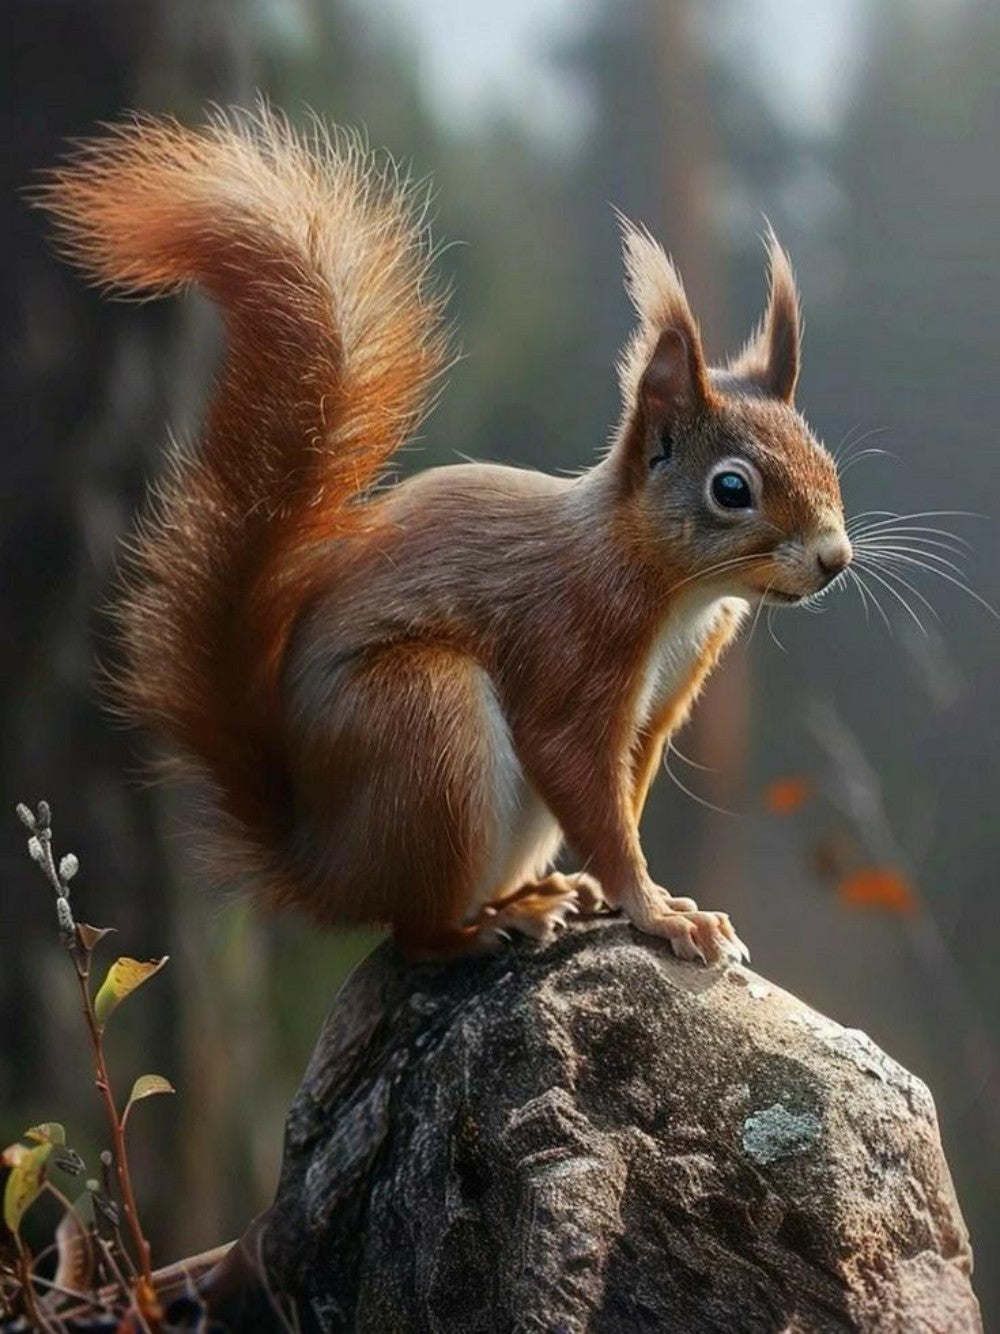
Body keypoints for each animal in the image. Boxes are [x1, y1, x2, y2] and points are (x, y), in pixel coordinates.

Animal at [38, 106, 853, 966]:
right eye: (732, 489)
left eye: (825, 458)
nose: (835, 559)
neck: (669, 582)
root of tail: (322, 867)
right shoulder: (571, 644)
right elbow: (584, 785)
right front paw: (659, 911)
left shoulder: (663, 703)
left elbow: (625, 794)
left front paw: (632, 897)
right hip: (425, 723)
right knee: (413, 931)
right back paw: (491, 925)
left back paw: (539, 895)